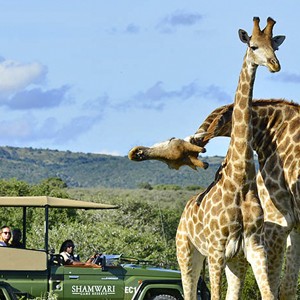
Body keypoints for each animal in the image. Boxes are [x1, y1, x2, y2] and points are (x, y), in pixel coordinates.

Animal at [130, 17, 284, 298]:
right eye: (254, 46)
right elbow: (213, 295)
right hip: (186, 252)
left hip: (233, 261)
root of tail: (183, 212)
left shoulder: (253, 248)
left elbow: (267, 293)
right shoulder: (216, 250)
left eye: (275, 46)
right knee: (189, 291)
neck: (240, 180)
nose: (274, 65)